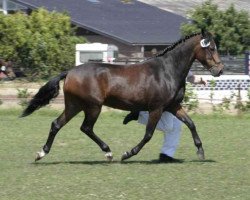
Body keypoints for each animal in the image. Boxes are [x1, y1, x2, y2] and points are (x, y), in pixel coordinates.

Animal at [21, 29, 224, 161]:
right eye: (211, 48)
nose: (220, 70)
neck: (167, 71)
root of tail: (70, 72)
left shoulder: (173, 106)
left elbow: (191, 123)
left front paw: (200, 152)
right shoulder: (156, 109)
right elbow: (148, 134)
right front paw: (128, 153)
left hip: (74, 105)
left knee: (57, 124)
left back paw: (41, 153)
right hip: (93, 106)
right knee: (86, 128)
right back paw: (108, 152)